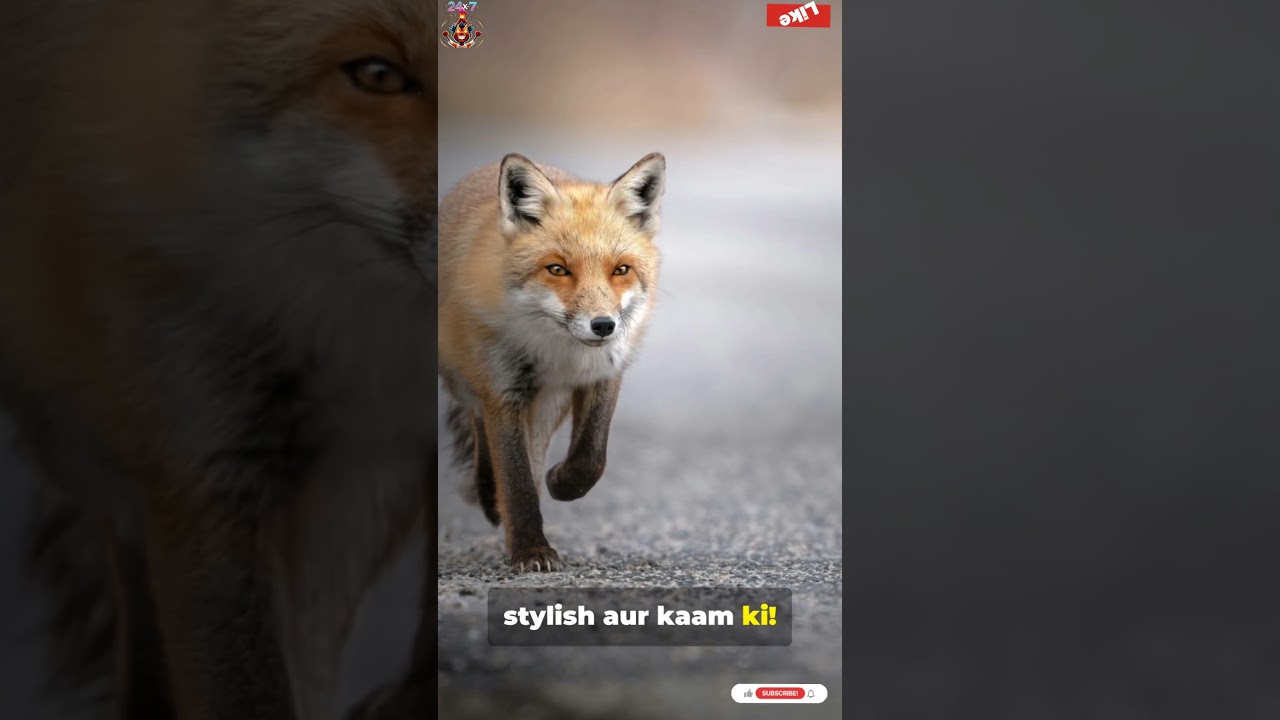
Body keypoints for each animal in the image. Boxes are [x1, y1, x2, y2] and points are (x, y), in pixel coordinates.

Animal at [438, 152, 667, 571]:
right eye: (558, 269)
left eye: (621, 270)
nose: (603, 325)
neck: (561, 351)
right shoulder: (503, 388)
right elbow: (516, 479)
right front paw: (531, 550)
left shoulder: (605, 372)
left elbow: (591, 455)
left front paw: (563, 483)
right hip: (470, 378)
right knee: (479, 426)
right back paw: (488, 495)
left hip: (548, 403)